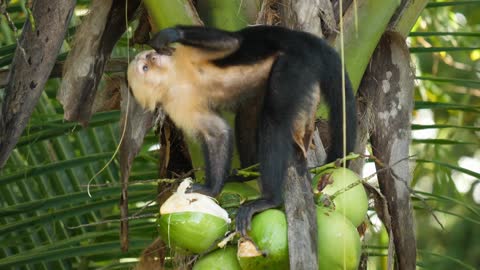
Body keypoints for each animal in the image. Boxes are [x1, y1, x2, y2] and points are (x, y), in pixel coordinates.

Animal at [127, 25, 356, 236]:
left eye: (147, 58)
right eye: (145, 67)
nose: (153, 56)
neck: (174, 78)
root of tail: (301, 39)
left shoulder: (182, 55)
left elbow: (230, 43)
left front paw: (169, 35)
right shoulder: (176, 105)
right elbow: (216, 133)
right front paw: (212, 187)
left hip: (295, 65)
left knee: (273, 118)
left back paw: (269, 200)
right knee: (248, 113)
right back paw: (247, 175)